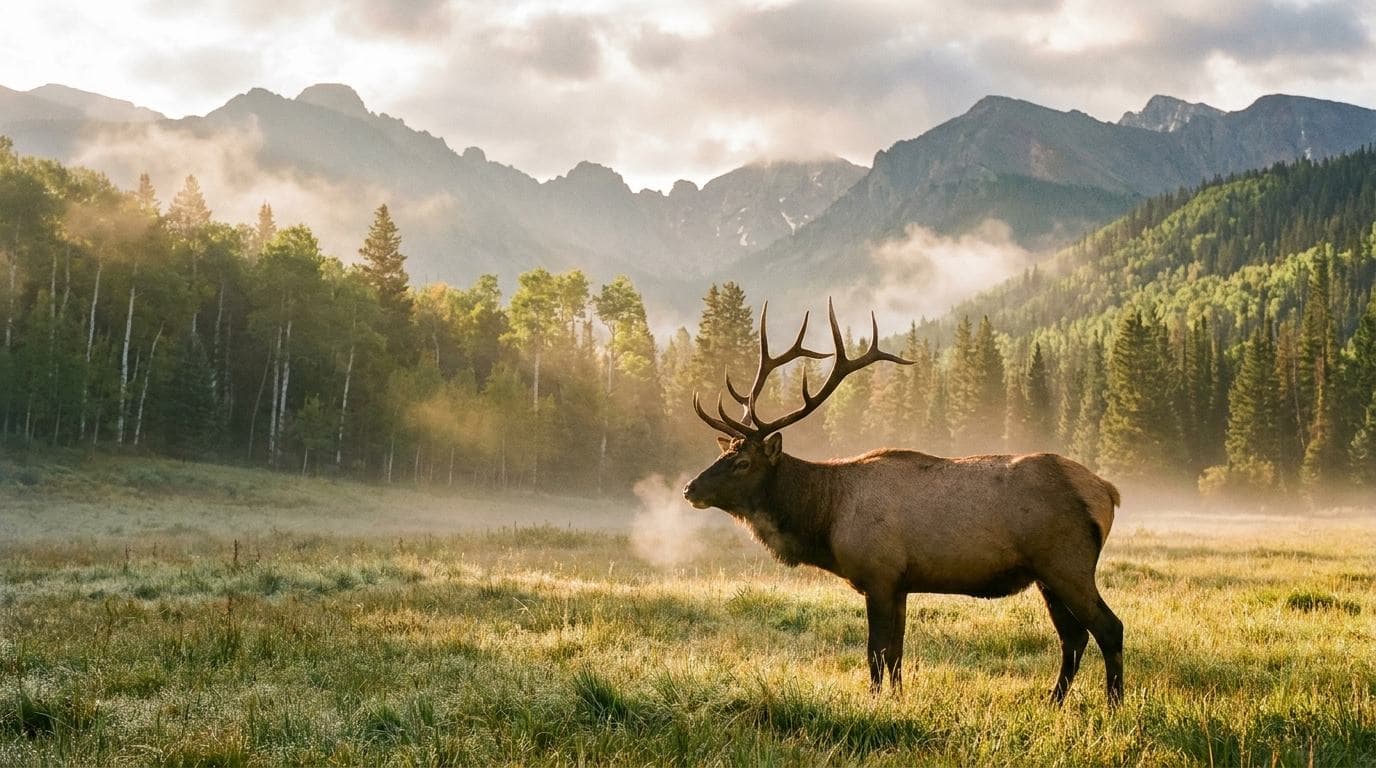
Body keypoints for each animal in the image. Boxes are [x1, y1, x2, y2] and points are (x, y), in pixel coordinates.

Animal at [682, 300, 1124, 705]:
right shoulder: (900, 584)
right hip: (1046, 575)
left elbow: (875, 652)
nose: (690, 489)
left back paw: (1114, 704)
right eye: (724, 453)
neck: (826, 518)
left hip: (1067, 562)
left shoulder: (878, 575)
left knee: (1108, 628)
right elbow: (895, 652)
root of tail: (1106, 491)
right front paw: (897, 699)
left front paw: (875, 700)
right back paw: (1054, 701)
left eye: (742, 462)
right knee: (1073, 637)